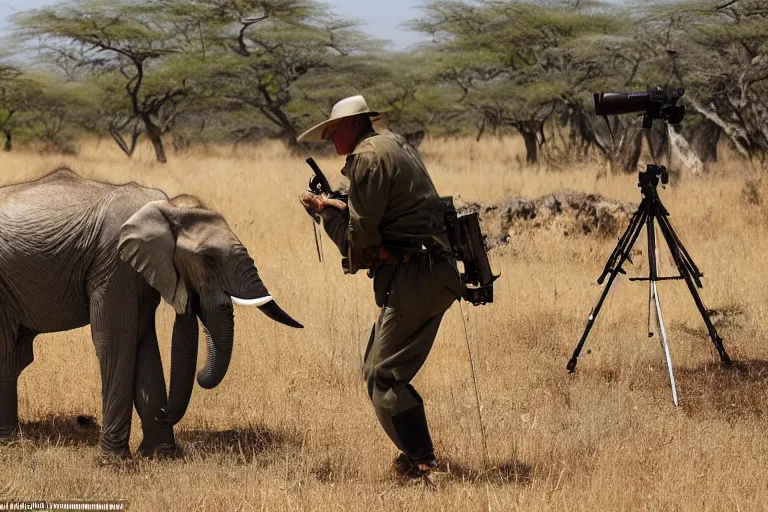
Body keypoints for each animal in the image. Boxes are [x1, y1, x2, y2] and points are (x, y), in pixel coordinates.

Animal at [0, 169, 304, 460]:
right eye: (207, 259)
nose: (164, 412)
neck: (166, 208)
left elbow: (143, 342)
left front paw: (159, 455)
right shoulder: (113, 264)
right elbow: (116, 341)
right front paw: (112, 462)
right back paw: (9, 443)